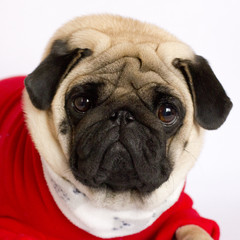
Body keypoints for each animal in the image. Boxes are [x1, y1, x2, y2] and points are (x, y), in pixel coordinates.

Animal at [1, 14, 232, 240]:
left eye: (167, 112)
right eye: (82, 102)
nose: (123, 115)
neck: (116, 207)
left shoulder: (182, 215)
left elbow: (196, 230)